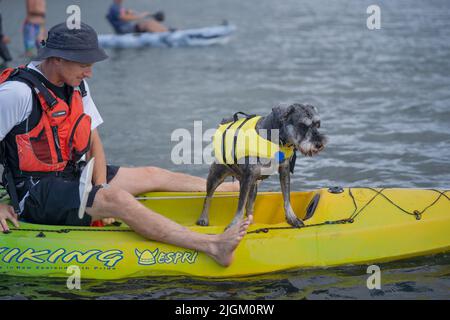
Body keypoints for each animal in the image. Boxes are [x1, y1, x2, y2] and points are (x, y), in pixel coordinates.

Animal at [197, 104, 326, 231]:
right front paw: (233, 225)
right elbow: (240, 205)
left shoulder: (284, 170)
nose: (319, 144)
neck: (275, 139)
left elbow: (287, 198)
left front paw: (292, 218)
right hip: (217, 176)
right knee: (208, 197)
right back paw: (203, 219)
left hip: (253, 187)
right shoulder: (248, 177)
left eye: (317, 124)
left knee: (249, 207)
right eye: (302, 125)